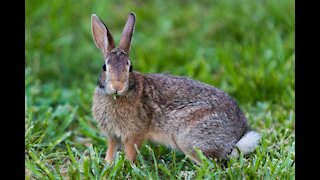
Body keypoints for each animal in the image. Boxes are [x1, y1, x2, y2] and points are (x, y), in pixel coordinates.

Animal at [90, 12, 260, 165]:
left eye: (130, 67)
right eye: (104, 67)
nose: (117, 86)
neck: (118, 96)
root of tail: (235, 140)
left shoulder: (134, 133)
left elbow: (131, 151)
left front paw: (127, 165)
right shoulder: (112, 135)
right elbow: (111, 150)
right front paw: (107, 164)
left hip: (188, 139)